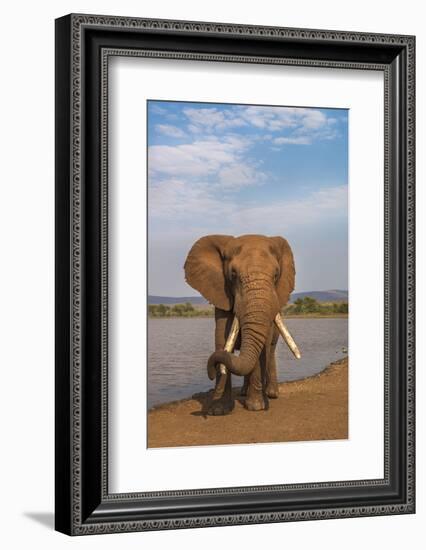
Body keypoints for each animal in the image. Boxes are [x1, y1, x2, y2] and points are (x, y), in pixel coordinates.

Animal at [183, 234, 300, 418]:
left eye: (276, 275)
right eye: (233, 274)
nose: (210, 373)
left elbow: (262, 348)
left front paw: (256, 407)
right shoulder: (222, 296)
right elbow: (221, 340)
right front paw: (218, 410)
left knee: (271, 350)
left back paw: (271, 394)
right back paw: (245, 392)